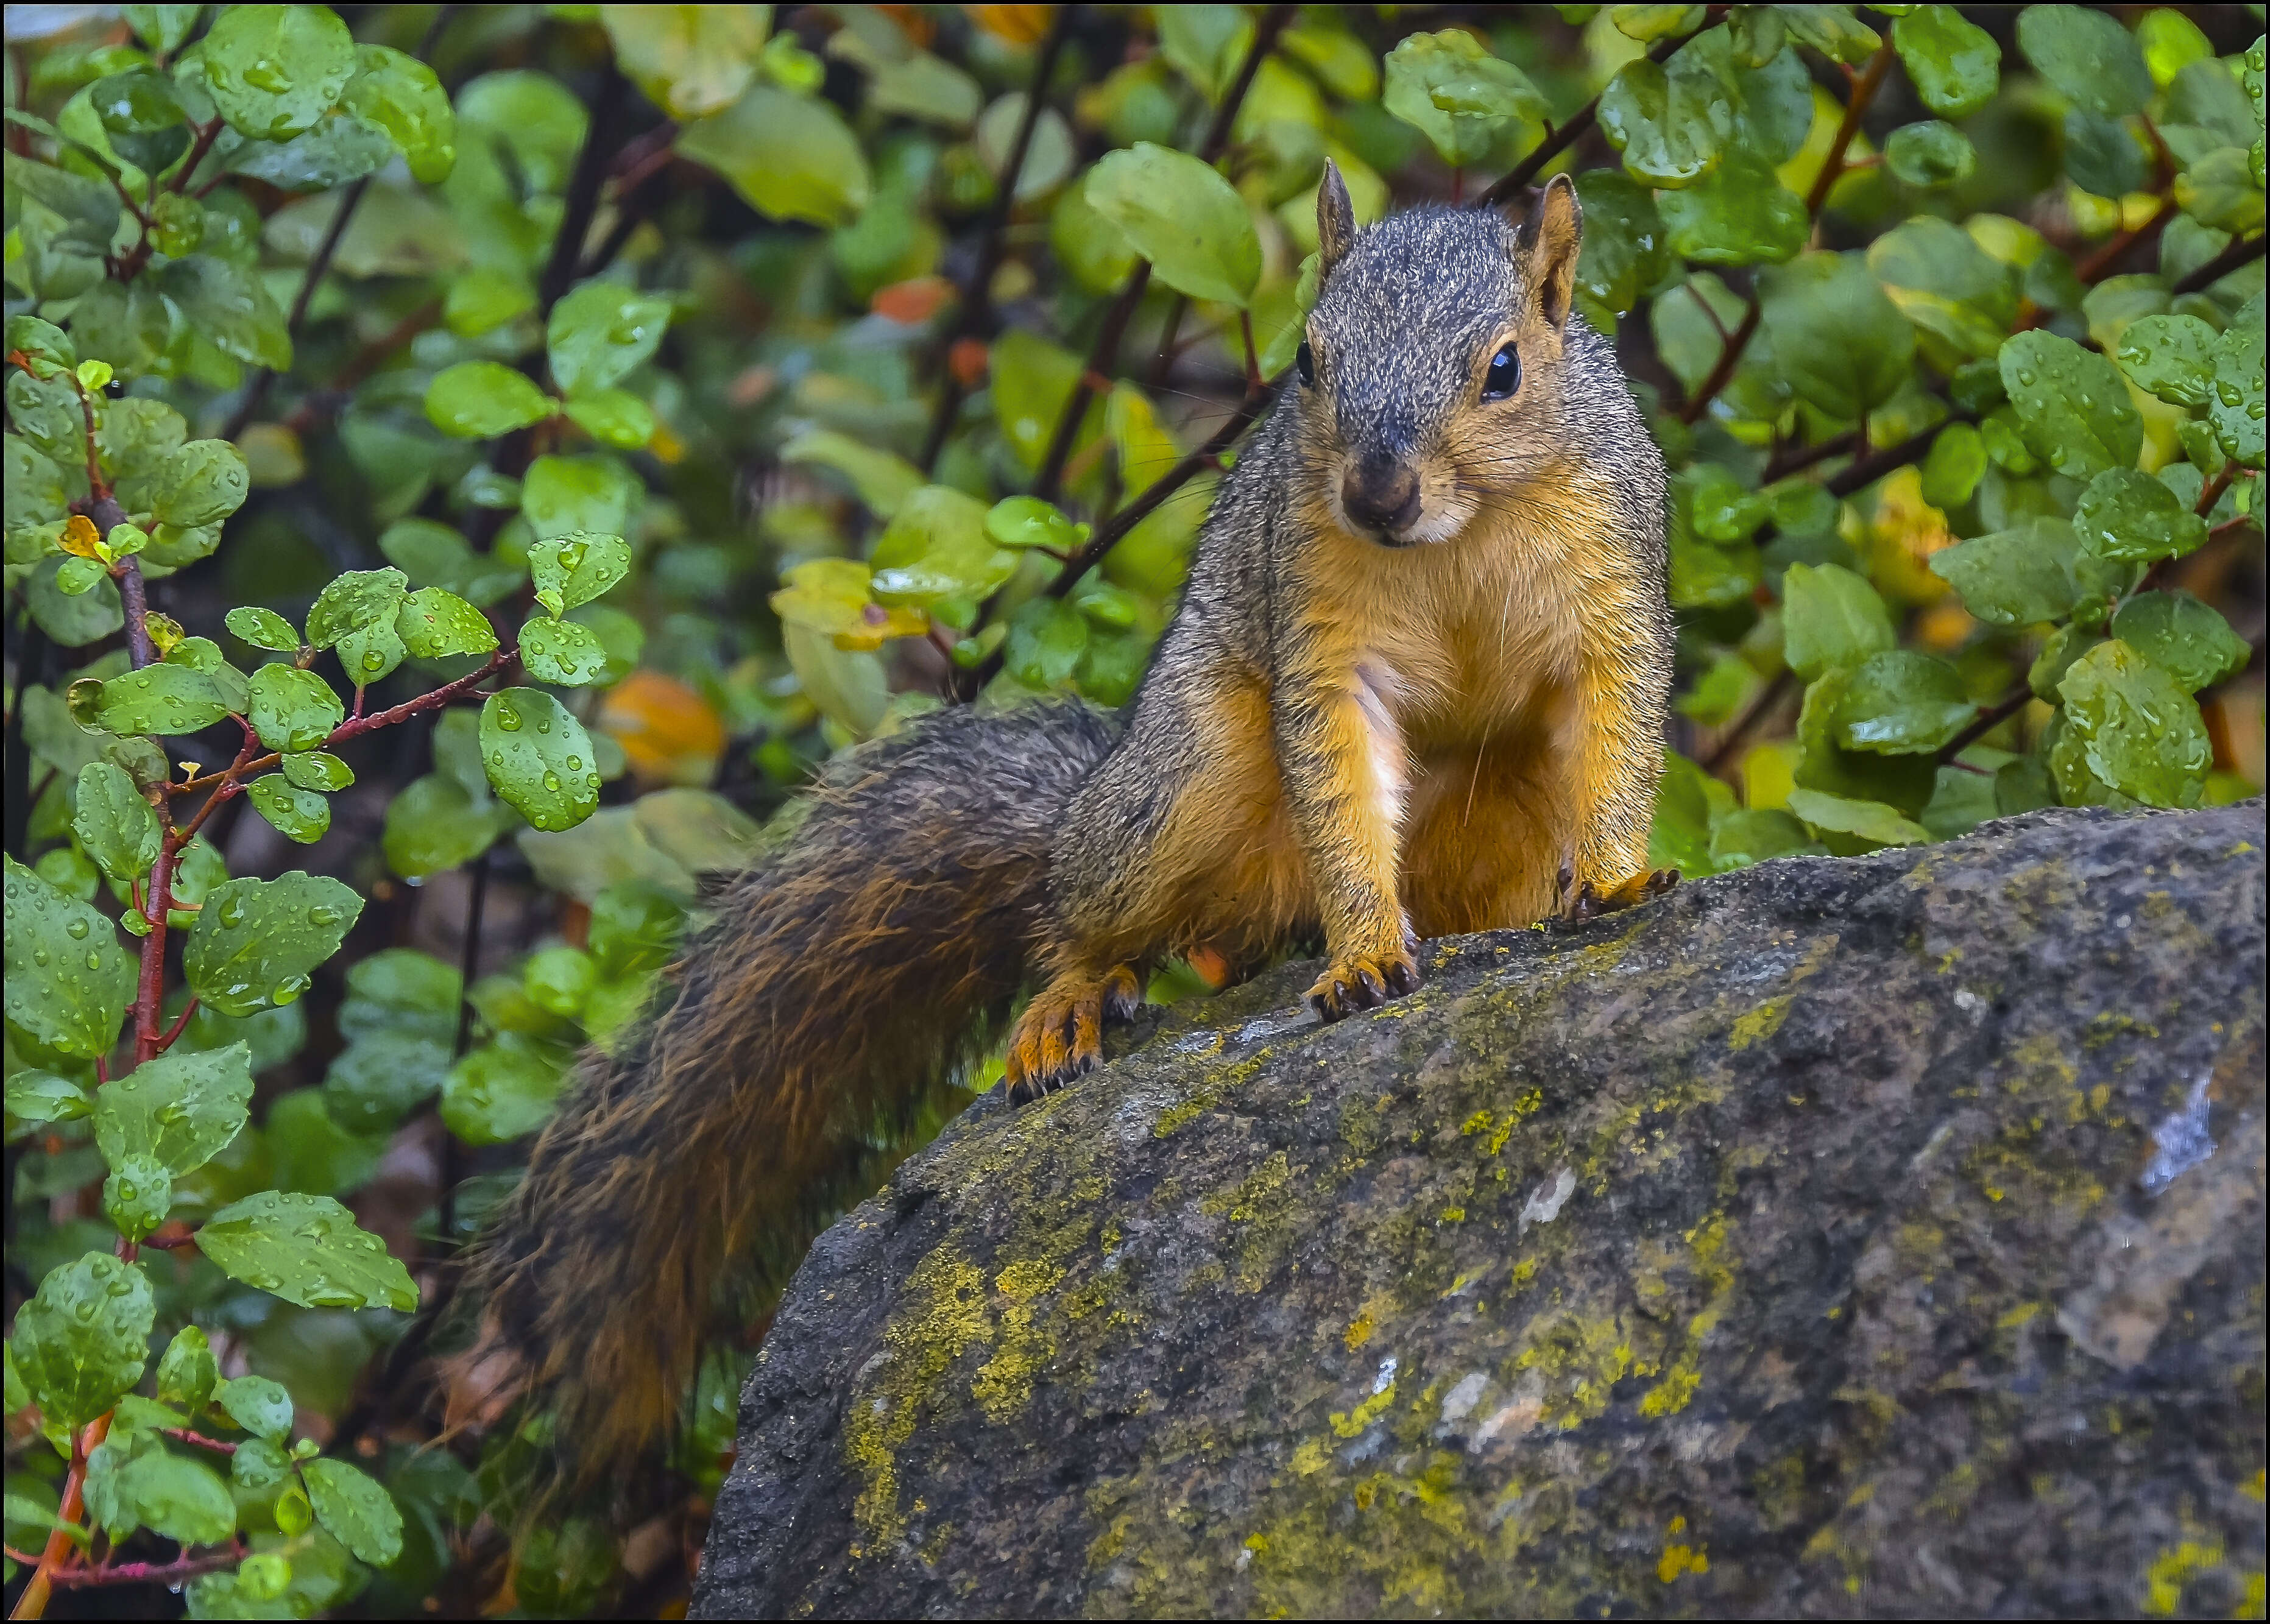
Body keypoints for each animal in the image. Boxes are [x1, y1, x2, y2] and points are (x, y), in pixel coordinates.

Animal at [451, 168, 1680, 1497]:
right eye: (1306, 360)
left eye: (1504, 369)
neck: (1460, 536)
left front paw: (1618, 881)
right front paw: (1362, 949)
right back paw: (1078, 998)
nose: (1376, 491)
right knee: (1083, 915)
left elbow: (1616, 733)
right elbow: (1342, 783)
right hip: (1182, 783)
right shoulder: (1321, 630)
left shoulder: (1611, 591)